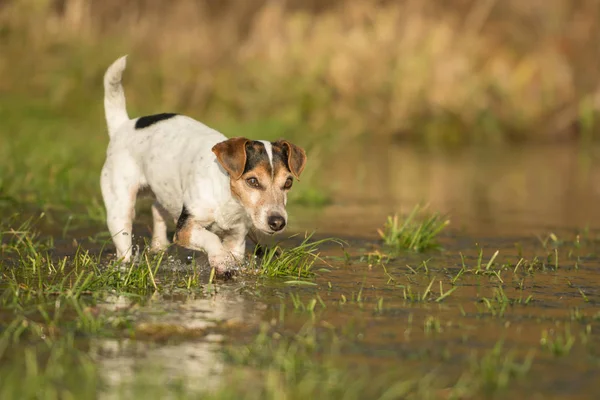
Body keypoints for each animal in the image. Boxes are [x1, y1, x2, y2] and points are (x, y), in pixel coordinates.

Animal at [101, 56, 308, 276]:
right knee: (124, 241)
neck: (228, 197)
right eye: (252, 181)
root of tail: (123, 126)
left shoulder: (236, 237)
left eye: (288, 182)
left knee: (157, 207)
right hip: (119, 209)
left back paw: (159, 245)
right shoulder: (186, 228)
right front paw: (220, 258)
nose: (278, 222)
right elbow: (211, 238)